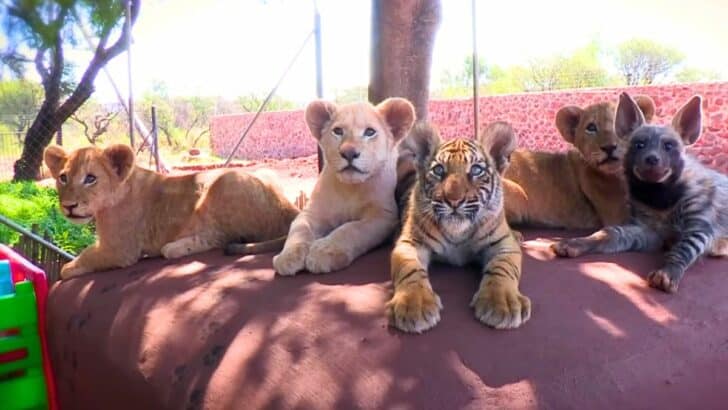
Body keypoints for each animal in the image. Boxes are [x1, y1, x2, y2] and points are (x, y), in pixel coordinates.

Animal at [43, 144, 299, 279]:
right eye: (63, 178)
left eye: (91, 179)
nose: (69, 206)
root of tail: (290, 209)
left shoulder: (120, 250)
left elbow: (83, 257)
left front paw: (68, 268)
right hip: (266, 173)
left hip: (226, 181)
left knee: (221, 237)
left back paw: (173, 247)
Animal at [272, 98, 416, 275]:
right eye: (338, 131)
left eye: (370, 132)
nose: (349, 152)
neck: (350, 189)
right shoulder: (312, 212)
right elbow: (299, 229)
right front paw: (288, 256)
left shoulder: (383, 216)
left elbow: (351, 228)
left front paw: (324, 251)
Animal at [387, 121, 531, 333]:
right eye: (439, 170)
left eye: (476, 170)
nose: (453, 200)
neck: (457, 234)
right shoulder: (410, 242)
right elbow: (409, 269)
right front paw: (414, 305)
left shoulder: (503, 245)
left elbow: (503, 268)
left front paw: (502, 304)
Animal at [552, 93, 728, 293]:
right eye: (639, 144)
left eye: (669, 146)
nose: (651, 159)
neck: (659, 198)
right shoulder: (649, 231)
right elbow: (612, 232)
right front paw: (574, 243)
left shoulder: (700, 222)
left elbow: (685, 247)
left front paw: (667, 273)